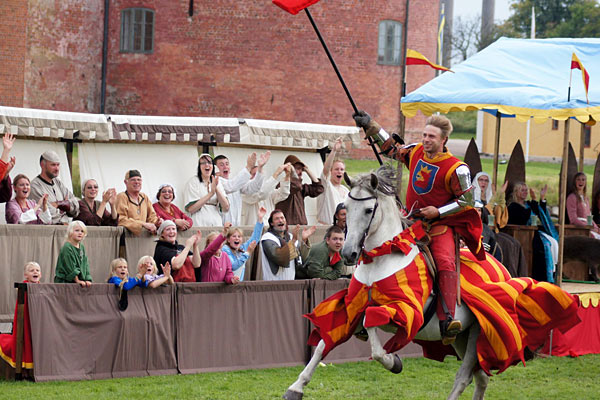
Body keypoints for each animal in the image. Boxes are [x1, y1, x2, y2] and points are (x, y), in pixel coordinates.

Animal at [284, 169, 490, 400]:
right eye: (346, 207)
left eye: (368, 210)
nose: (348, 253)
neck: (380, 257)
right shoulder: (350, 309)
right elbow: (322, 345)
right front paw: (296, 387)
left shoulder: (404, 312)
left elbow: (373, 333)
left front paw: (394, 361)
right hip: (460, 337)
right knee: (481, 378)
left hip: (476, 332)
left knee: (464, 377)